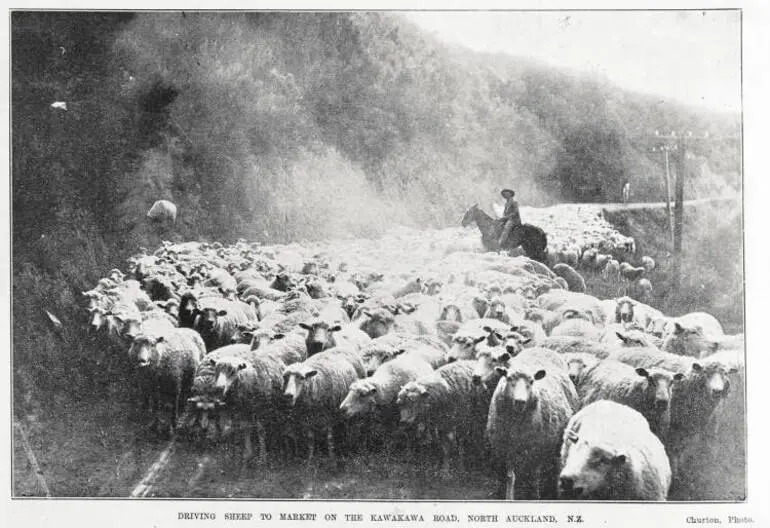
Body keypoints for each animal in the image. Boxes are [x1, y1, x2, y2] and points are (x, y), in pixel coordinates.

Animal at [486, 346, 576, 500]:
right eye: (509, 378)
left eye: (532, 381)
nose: (520, 401)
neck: (516, 423)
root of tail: (541, 348)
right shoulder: (505, 446)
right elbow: (510, 476)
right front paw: (508, 496)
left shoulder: (537, 447)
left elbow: (534, 476)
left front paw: (535, 495)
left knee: (556, 464)